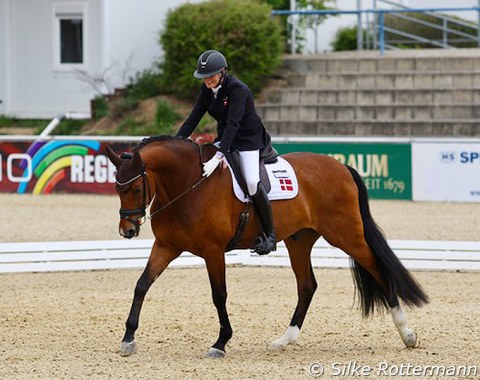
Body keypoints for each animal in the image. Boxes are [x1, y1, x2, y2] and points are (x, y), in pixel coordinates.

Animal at [105, 137, 428, 360]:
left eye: (135, 188)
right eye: (116, 188)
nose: (127, 231)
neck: (188, 185)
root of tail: (341, 166)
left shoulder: (213, 251)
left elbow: (219, 296)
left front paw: (220, 343)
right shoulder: (167, 246)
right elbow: (141, 285)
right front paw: (128, 339)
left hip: (346, 235)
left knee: (379, 270)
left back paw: (408, 334)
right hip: (300, 240)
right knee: (307, 286)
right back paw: (284, 340)